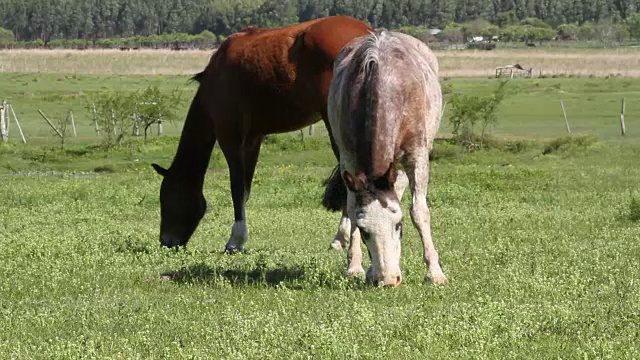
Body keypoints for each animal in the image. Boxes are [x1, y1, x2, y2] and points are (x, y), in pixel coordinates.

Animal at [150, 16, 370, 252]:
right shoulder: (253, 140)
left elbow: (237, 187)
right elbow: (246, 188)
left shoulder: (229, 136)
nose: (166, 242)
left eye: (166, 199)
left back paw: (342, 236)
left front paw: (235, 240)